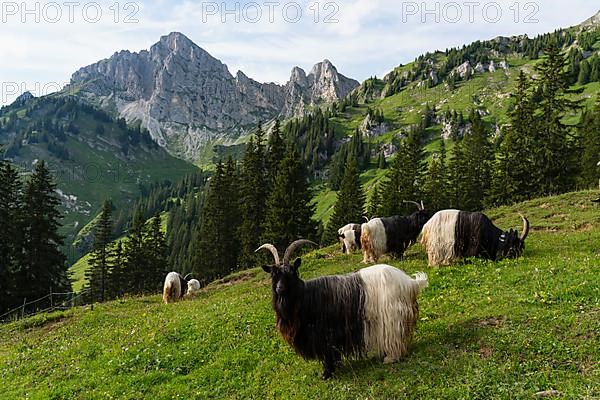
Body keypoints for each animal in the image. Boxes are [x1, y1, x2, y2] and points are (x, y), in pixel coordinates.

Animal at [255, 239, 428, 380]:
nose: (280, 288)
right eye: (274, 275)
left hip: (391, 316)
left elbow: (328, 354)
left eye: (291, 273)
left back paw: (391, 358)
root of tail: (409, 282)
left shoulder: (325, 334)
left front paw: (326, 374)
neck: (305, 297)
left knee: (394, 337)